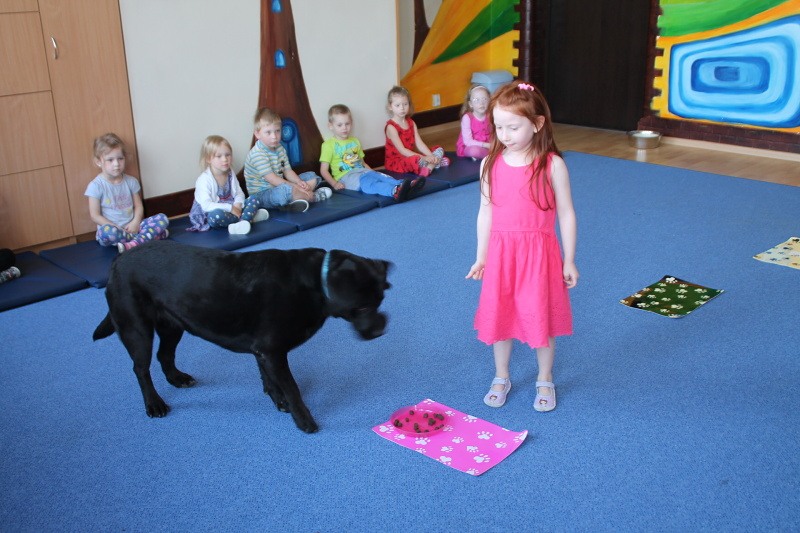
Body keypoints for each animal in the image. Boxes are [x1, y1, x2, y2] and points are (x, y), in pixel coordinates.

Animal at [93, 240, 390, 433]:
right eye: (363, 307)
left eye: (380, 300)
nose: (380, 331)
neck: (316, 282)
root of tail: (117, 262)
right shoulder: (272, 350)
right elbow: (292, 389)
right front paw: (304, 420)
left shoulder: (263, 350)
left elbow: (269, 379)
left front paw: (276, 399)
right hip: (137, 328)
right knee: (140, 368)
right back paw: (154, 404)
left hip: (172, 324)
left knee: (164, 355)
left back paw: (178, 379)